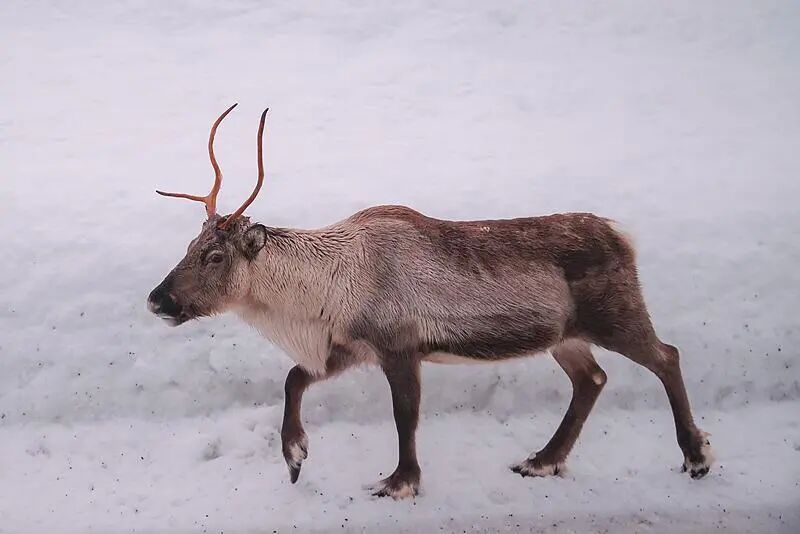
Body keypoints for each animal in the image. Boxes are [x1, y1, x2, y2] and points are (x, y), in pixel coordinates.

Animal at [147, 104, 714, 499]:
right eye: (190, 244)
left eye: (215, 254)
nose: (157, 299)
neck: (323, 289)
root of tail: (624, 236)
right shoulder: (350, 347)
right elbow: (293, 379)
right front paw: (294, 456)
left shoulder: (399, 347)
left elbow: (405, 415)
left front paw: (400, 482)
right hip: (564, 336)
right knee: (592, 379)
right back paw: (541, 460)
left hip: (615, 314)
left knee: (667, 356)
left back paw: (696, 456)